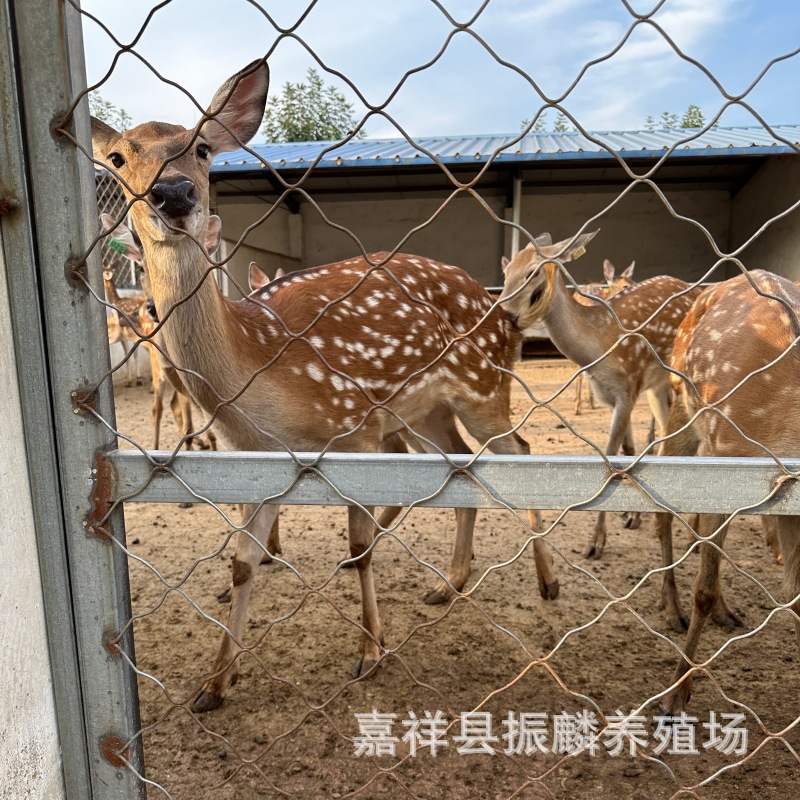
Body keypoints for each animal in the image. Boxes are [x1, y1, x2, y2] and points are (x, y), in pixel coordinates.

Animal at [90, 60, 557, 713]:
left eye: (203, 149)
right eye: (117, 157)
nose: (175, 194)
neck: (260, 369)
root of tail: (506, 315)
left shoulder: (353, 429)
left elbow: (360, 546)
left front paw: (368, 652)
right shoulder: (262, 457)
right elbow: (242, 561)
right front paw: (215, 682)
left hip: (484, 384)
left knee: (519, 450)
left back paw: (547, 579)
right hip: (424, 408)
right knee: (461, 464)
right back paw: (449, 584)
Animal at [657, 270, 800, 714]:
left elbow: (795, 593)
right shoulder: (725, 461)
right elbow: (702, 589)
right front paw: (674, 697)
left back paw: (727, 612)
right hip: (683, 404)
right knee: (663, 510)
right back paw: (672, 608)